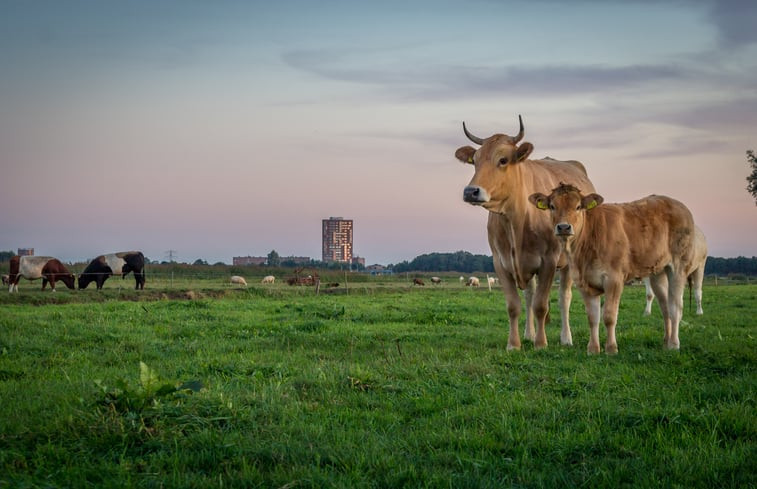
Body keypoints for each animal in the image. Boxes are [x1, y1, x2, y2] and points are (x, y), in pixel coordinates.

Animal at [454, 116, 596, 348]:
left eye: (503, 160)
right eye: (474, 161)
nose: (470, 191)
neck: (515, 221)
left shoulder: (548, 261)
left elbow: (541, 305)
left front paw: (541, 343)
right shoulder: (500, 262)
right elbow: (514, 305)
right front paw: (514, 344)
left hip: (568, 260)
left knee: (564, 298)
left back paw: (566, 338)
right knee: (530, 294)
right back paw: (529, 333)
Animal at [532, 183, 696, 350]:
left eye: (578, 206)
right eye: (552, 206)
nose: (564, 227)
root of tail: (678, 204)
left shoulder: (614, 278)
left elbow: (609, 316)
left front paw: (611, 348)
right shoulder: (583, 282)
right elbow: (593, 317)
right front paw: (593, 348)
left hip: (679, 267)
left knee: (675, 307)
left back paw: (674, 344)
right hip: (658, 272)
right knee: (665, 306)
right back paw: (666, 341)